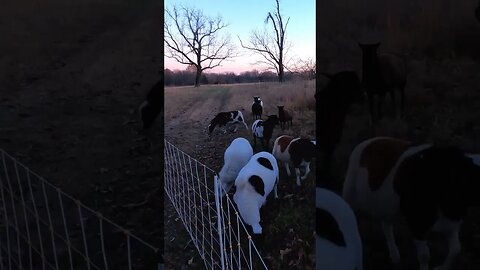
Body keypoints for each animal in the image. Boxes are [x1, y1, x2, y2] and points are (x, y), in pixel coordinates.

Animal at [342, 137, 480, 270]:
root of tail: (369, 141)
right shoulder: (417, 224)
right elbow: (424, 255)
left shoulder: (452, 222)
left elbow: (456, 249)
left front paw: (440, 268)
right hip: (349, 191)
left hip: (386, 205)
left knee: (386, 225)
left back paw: (395, 255)